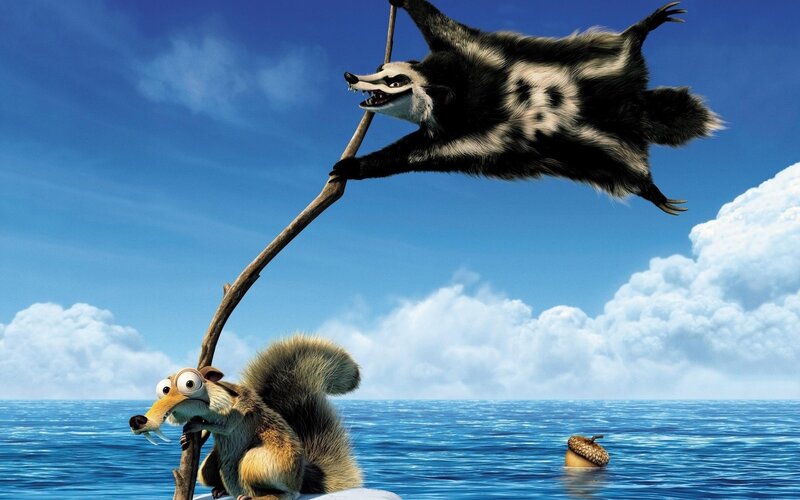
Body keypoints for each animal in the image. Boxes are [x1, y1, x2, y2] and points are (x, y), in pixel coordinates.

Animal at [129, 335, 363, 500]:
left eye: (189, 383)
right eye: (164, 389)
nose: (137, 421)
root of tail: (302, 478)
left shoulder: (238, 412)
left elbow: (223, 427)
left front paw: (196, 426)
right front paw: (187, 436)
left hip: (259, 463)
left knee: (289, 494)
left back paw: (261, 497)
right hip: (209, 467)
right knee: (208, 471)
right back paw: (221, 491)